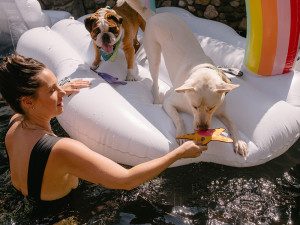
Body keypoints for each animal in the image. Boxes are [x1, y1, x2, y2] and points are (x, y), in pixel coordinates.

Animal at [118, 0, 248, 156]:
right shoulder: (169, 103)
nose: (202, 129)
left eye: (211, 108)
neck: (201, 69)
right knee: (155, 80)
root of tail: (155, 15)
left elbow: (233, 124)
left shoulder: (222, 110)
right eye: (194, 106)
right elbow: (179, 118)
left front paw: (240, 142)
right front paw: (182, 134)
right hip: (154, 56)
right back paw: (156, 99)